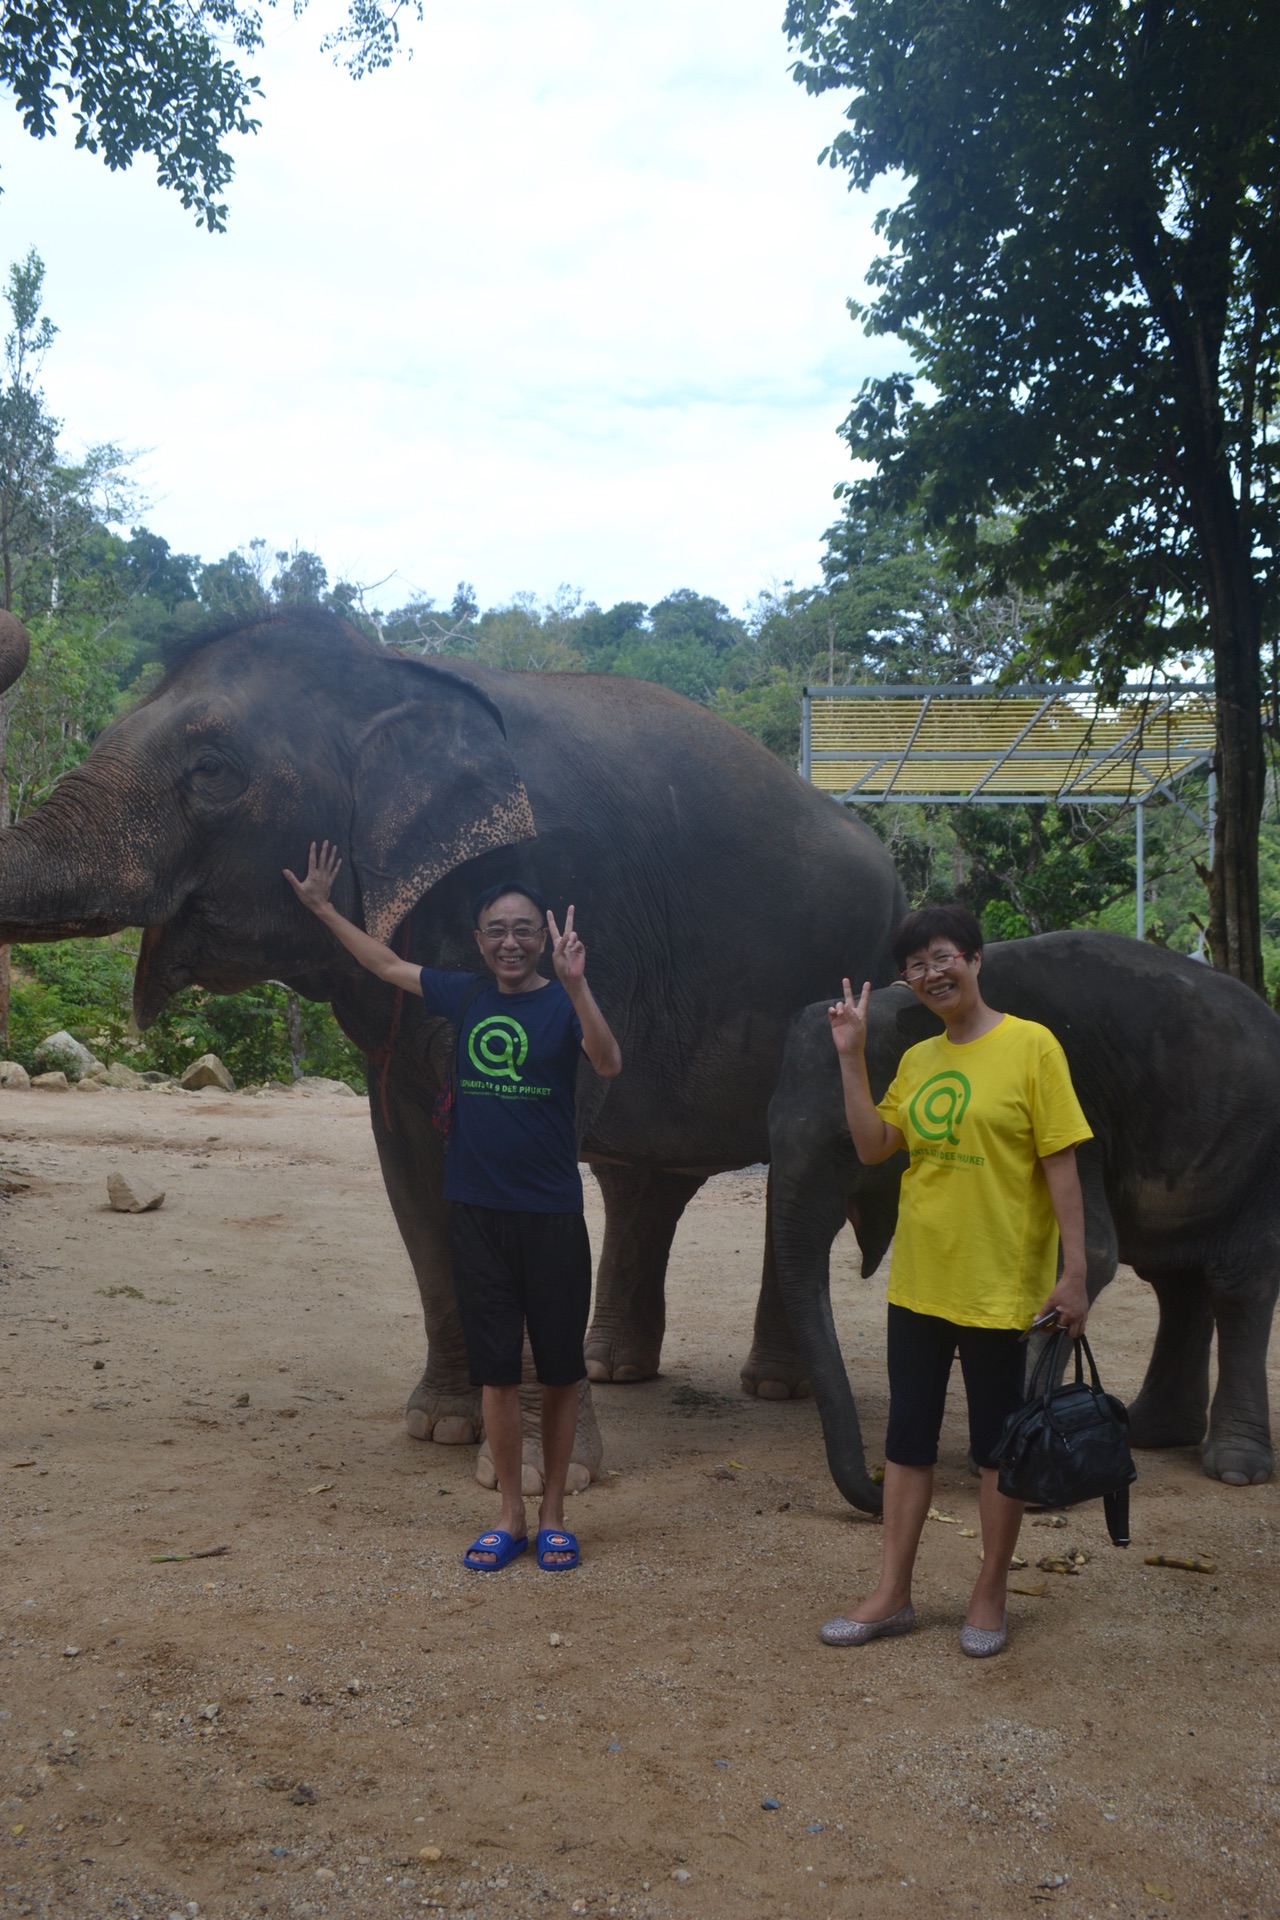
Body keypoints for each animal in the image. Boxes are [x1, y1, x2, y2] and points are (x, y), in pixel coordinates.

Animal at [0, 606, 905, 1474]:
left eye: (214, 771)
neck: (392, 674)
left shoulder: (581, 912)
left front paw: (540, 1473)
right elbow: (412, 1167)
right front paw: (442, 1428)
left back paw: (772, 1387)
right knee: (643, 1179)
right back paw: (613, 1368)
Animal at [771, 929, 1280, 1512]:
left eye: (841, 1145)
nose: (879, 1486)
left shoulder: (1075, 1096)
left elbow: (1088, 1254)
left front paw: (999, 1455)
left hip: (1262, 1157)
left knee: (1239, 1282)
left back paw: (1235, 1468)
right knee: (1176, 1284)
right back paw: (1150, 1433)